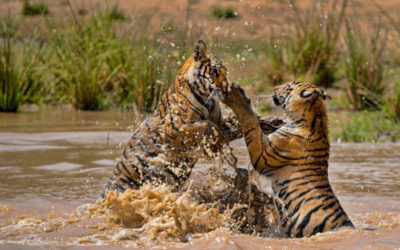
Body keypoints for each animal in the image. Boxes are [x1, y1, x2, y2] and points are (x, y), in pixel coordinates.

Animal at [103, 40, 242, 193]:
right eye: (214, 71)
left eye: (225, 72)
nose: (226, 89)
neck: (206, 98)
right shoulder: (173, 128)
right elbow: (208, 126)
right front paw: (216, 146)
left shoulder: (219, 121)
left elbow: (227, 125)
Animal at [222, 82, 354, 238]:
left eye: (288, 87)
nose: (274, 89)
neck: (315, 118)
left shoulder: (262, 155)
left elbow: (251, 124)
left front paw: (237, 97)